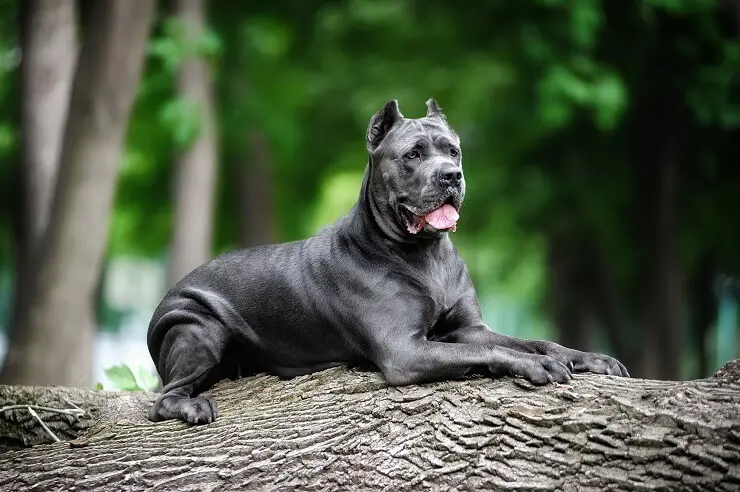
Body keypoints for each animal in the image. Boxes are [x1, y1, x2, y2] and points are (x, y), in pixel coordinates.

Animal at [146, 99, 632, 422]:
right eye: (413, 155)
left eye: (452, 150)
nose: (451, 176)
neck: (423, 253)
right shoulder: (406, 349)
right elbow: (489, 350)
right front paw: (536, 366)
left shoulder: (468, 327)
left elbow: (530, 340)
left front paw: (587, 357)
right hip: (200, 330)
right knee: (163, 398)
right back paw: (191, 406)